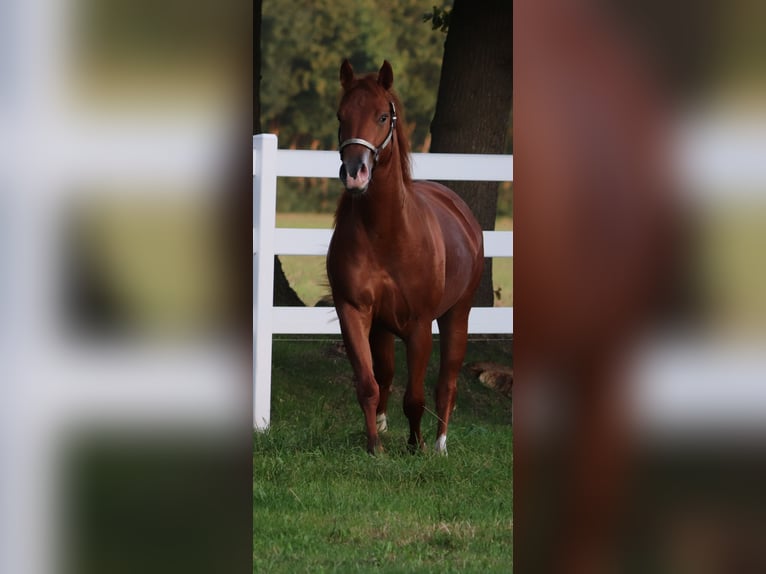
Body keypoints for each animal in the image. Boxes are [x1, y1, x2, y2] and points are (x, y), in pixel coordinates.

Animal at [326, 59, 484, 455]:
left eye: (383, 116)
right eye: (340, 115)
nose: (355, 173)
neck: (386, 233)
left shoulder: (420, 324)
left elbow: (415, 397)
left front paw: (418, 447)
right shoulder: (353, 312)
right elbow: (368, 384)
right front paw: (375, 447)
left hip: (457, 316)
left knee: (447, 382)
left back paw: (441, 444)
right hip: (383, 328)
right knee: (384, 376)